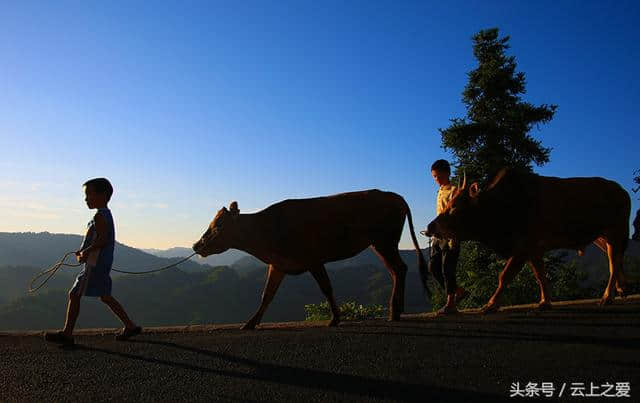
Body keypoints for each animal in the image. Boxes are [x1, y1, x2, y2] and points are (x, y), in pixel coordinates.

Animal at [192, 191, 428, 330]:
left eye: (218, 225)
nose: (196, 245)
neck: (266, 231)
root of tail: (395, 196)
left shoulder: (314, 260)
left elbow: (327, 288)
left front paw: (335, 319)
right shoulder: (279, 264)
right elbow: (267, 294)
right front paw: (251, 322)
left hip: (384, 242)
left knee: (399, 268)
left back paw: (394, 310)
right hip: (381, 244)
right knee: (398, 269)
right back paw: (396, 310)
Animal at [424, 169, 632, 314]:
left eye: (455, 207)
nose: (430, 226)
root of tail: (623, 191)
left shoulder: (524, 246)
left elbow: (504, 276)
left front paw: (491, 304)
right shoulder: (534, 249)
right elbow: (540, 275)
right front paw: (545, 301)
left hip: (616, 230)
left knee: (614, 262)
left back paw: (607, 296)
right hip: (602, 236)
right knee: (615, 259)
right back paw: (621, 289)